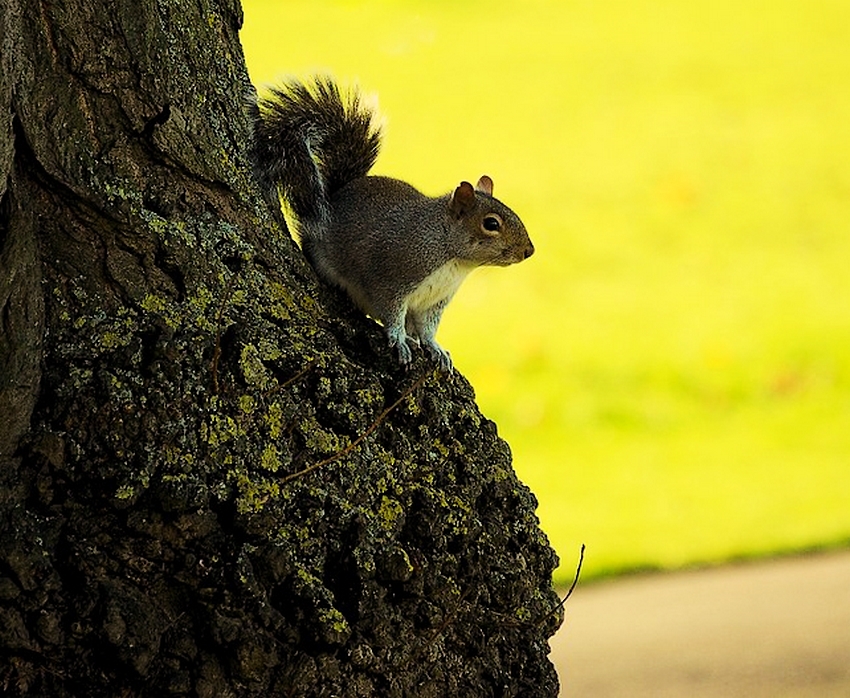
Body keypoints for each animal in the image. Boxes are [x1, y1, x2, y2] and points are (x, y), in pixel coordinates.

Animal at [250, 76, 536, 370]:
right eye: (491, 224)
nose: (528, 251)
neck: (452, 258)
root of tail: (336, 194)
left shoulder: (435, 302)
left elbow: (427, 328)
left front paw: (435, 347)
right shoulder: (392, 276)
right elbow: (391, 312)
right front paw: (399, 339)